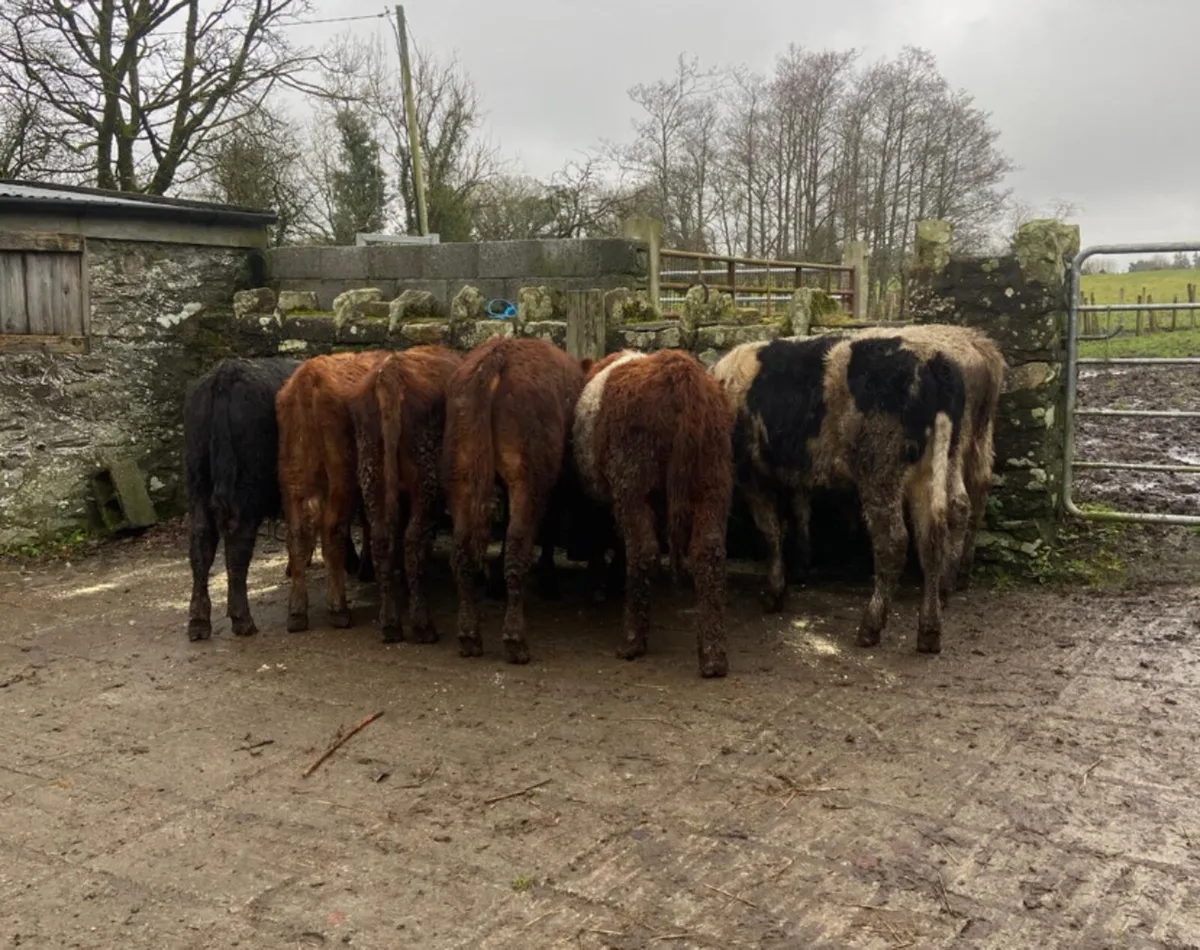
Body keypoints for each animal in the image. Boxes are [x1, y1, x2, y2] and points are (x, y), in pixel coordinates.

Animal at [276, 350, 390, 633]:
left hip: (293, 481)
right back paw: (338, 608)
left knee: (297, 536)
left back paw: (297, 611)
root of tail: (308, 380)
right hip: (340, 480)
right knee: (332, 534)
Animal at [349, 345, 464, 644]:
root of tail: (390, 373)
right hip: (427, 481)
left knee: (381, 538)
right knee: (414, 540)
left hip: (371, 473)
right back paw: (423, 625)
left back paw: (391, 623)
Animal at [442, 335, 586, 664]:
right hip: (528, 478)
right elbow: (547, 529)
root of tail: (498, 356)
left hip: (463, 473)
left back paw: (469, 635)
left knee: (463, 550)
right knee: (519, 544)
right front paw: (547, 578)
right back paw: (515, 640)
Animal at [573, 349, 733, 678]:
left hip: (633, 481)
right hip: (713, 481)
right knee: (708, 554)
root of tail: (679, 371)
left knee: (643, 550)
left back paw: (632, 641)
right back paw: (713, 657)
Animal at [711, 324, 1004, 654]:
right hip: (939, 462)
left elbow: (771, 530)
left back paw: (870, 628)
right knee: (939, 530)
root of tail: (934, 363)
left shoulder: (751, 472)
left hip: (881, 468)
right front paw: (799, 568)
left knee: (895, 541)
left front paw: (774, 594)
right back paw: (930, 628)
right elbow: (798, 513)